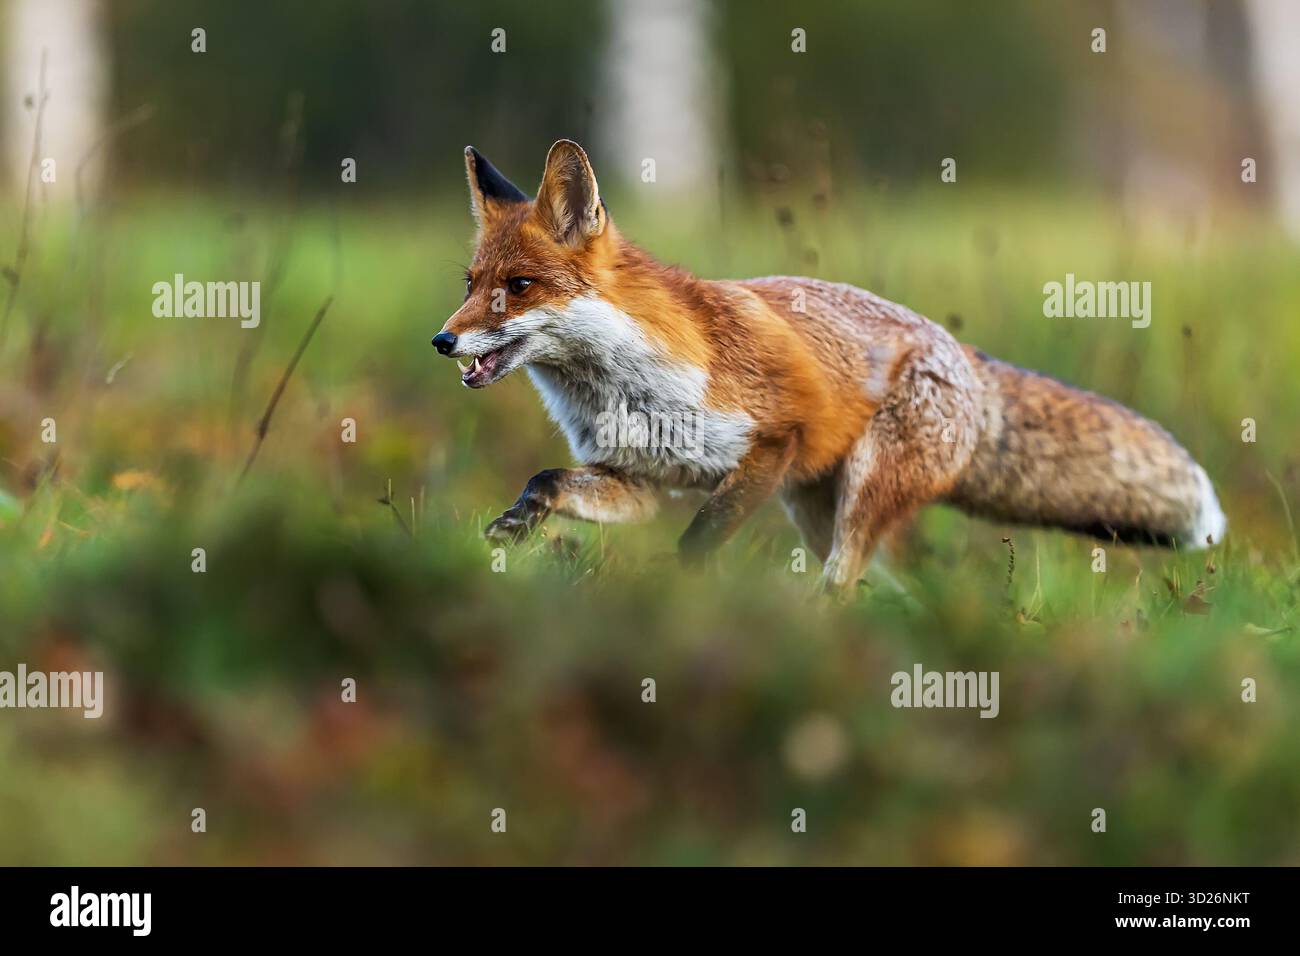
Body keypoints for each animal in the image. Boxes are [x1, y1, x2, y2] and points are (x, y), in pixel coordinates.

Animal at [433, 139, 1226, 595]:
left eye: (519, 287)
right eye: (469, 284)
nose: (442, 341)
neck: (622, 384)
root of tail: (966, 359)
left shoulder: (769, 443)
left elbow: (695, 544)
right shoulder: (640, 479)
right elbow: (548, 480)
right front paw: (516, 526)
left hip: (857, 500)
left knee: (846, 586)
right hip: (819, 513)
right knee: (891, 592)